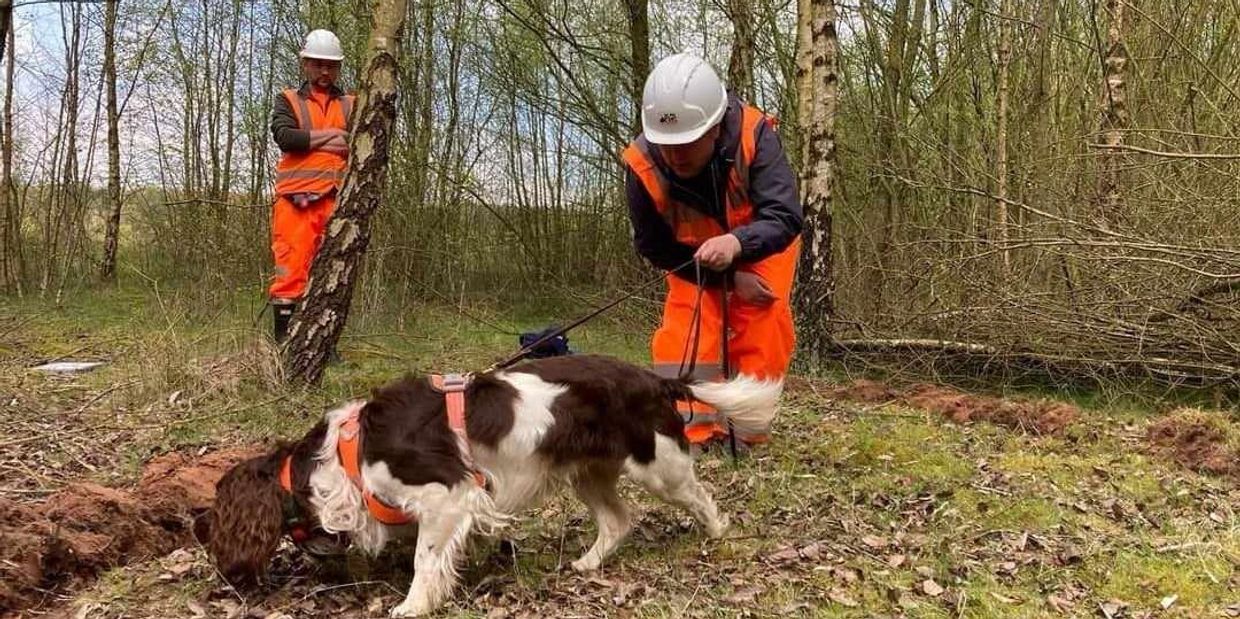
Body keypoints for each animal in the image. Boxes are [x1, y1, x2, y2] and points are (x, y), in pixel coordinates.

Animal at [208, 357, 778, 617]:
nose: (199, 532)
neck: (349, 450)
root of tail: (654, 378)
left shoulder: (447, 494)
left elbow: (425, 559)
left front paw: (414, 605)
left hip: (656, 465)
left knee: (701, 498)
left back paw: (717, 537)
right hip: (587, 474)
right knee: (618, 520)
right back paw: (587, 564)